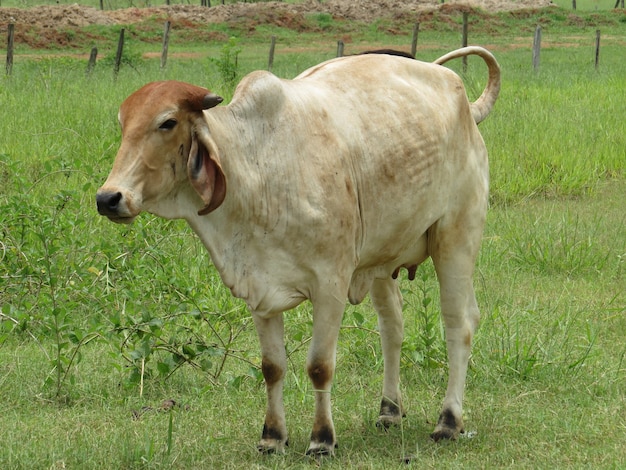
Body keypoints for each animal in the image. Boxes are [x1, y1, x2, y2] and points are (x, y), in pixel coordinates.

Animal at [95, 46, 500, 456]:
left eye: (167, 122)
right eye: (123, 123)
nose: (109, 198)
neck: (258, 169)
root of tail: (464, 101)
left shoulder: (330, 286)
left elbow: (320, 366)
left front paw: (321, 439)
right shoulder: (258, 289)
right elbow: (272, 367)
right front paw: (273, 436)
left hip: (455, 239)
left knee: (459, 324)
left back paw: (448, 421)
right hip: (382, 261)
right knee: (393, 326)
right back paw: (389, 411)